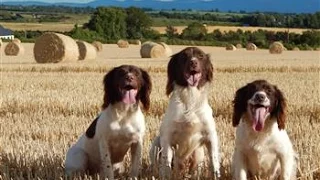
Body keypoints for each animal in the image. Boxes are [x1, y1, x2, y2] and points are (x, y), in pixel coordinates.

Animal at [149, 47, 220, 179]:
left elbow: (214, 163)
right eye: (184, 56)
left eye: (201, 56)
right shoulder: (167, 138)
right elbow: (166, 165)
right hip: (155, 144)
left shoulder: (211, 136)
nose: (193, 62)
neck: (190, 100)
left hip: (198, 153)